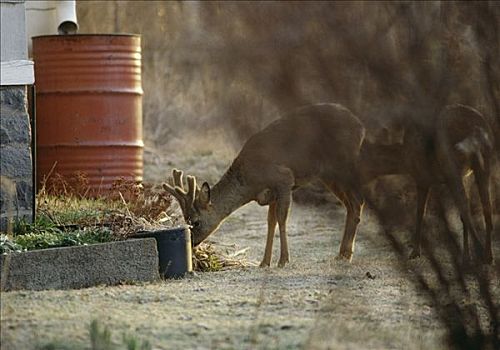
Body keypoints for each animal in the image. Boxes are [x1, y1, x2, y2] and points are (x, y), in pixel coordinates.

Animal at [162, 102, 366, 266]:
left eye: (196, 222)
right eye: (186, 220)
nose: (192, 243)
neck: (250, 181)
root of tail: (360, 126)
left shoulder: (284, 179)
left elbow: (282, 219)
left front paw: (283, 260)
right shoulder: (271, 193)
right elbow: (270, 222)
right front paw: (264, 262)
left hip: (341, 166)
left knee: (357, 202)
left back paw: (346, 254)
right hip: (329, 175)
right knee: (352, 205)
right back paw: (343, 254)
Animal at [360, 105, 496, 264]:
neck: (406, 158)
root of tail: (475, 129)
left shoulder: (422, 178)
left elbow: (420, 213)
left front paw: (414, 252)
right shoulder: (465, 176)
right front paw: (466, 255)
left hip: (451, 164)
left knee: (466, 208)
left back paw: (479, 252)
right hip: (483, 163)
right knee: (485, 209)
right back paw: (487, 256)